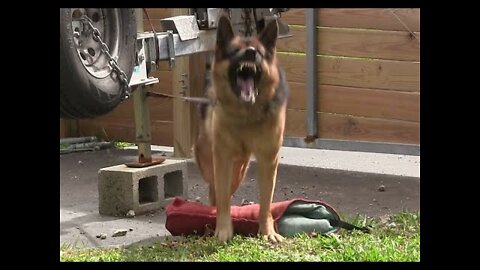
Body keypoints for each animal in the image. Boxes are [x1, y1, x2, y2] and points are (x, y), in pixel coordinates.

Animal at [192, 14, 288, 243]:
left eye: (259, 52)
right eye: (235, 50)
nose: (251, 53)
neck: (247, 114)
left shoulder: (268, 160)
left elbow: (266, 202)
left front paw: (267, 231)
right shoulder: (223, 159)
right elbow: (223, 199)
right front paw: (223, 230)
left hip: (240, 168)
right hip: (215, 164)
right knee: (215, 190)